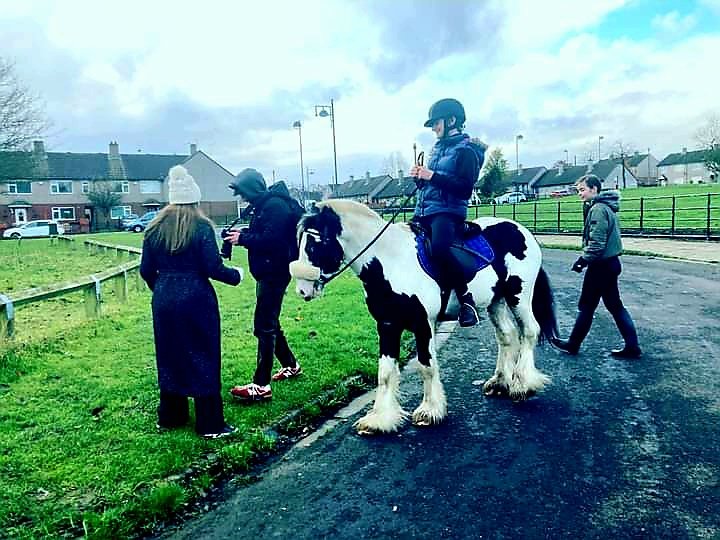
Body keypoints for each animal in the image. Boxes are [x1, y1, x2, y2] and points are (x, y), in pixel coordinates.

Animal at [290, 200, 560, 436]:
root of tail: (521, 230)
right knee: (507, 336)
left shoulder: (423, 324)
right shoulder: (387, 326)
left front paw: (430, 412)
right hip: (497, 301)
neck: (392, 261)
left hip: (519, 296)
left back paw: (522, 385)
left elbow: (427, 366)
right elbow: (384, 373)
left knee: (529, 331)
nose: (302, 290)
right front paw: (381, 420)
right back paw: (500, 382)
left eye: (314, 244)